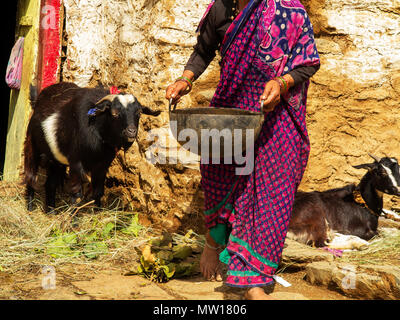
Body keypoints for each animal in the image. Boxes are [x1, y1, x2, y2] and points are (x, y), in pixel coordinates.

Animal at [23, 82, 160, 212]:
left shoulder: (102, 165)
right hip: (32, 147)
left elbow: (98, 192)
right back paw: (30, 208)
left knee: (50, 184)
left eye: (139, 113)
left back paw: (51, 212)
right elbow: (77, 195)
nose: (131, 131)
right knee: (31, 178)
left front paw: (97, 213)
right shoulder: (76, 163)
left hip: (55, 160)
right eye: (114, 113)